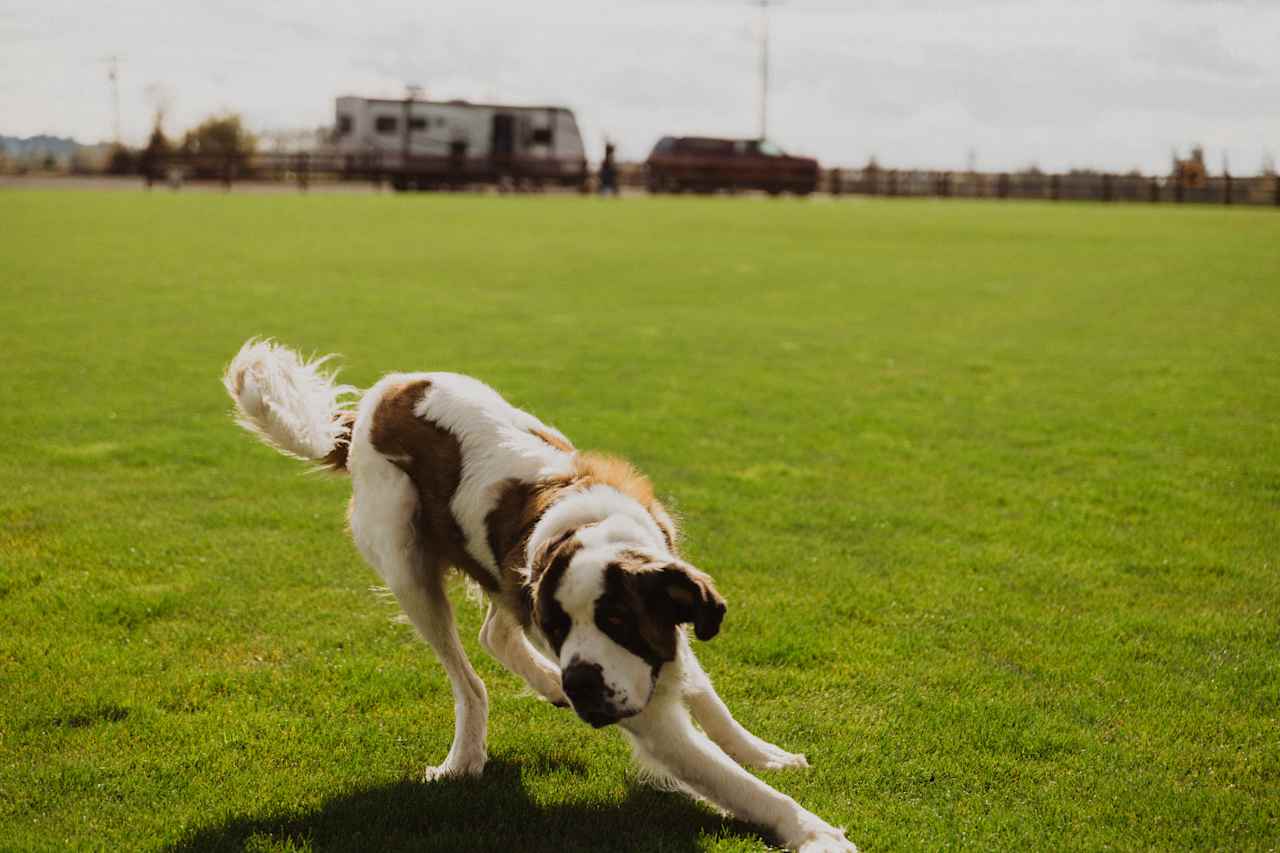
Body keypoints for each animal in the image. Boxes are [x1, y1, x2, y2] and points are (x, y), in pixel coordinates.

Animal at [222, 338, 860, 850]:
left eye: (618, 620)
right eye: (559, 628)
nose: (579, 682)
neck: (596, 525)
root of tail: (377, 400)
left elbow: (709, 699)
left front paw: (764, 753)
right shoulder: (651, 716)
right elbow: (737, 784)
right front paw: (814, 832)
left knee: (494, 632)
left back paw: (546, 685)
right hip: (405, 561)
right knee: (468, 678)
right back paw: (470, 753)